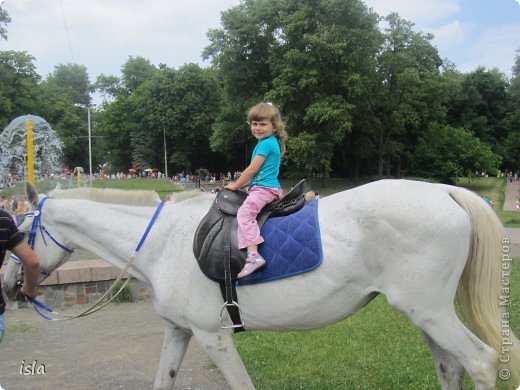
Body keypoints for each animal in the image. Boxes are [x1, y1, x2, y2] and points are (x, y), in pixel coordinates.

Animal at [2, 181, 516, 390]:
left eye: (16, 227)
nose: (8, 284)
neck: (163, 241)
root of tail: (446, 190)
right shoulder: (178, 332)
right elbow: (162, 380)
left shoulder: (213, 337)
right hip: (425, 314)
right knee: (451, 368)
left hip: (430, 311)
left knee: (480, 362)